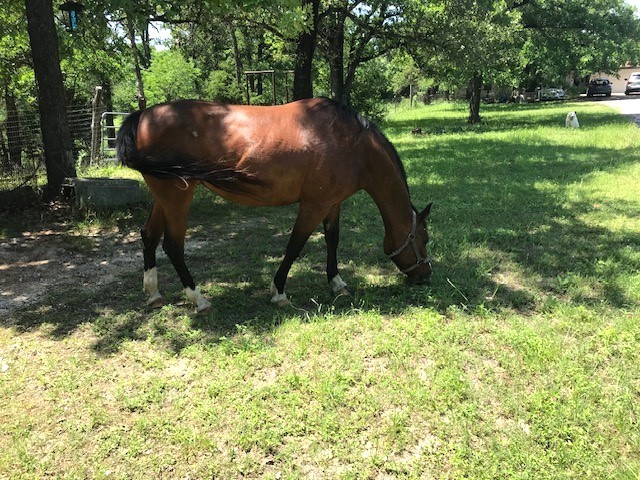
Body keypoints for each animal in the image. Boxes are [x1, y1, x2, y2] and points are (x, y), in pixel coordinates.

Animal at [117, 98, 432, 316]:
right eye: (424, 238)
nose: (426, 275)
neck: (354, 145)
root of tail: (143, 115)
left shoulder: (332, 203)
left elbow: (332, 240)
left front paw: (337, 282)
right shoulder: (314, 205)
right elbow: (295, 245)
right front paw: (279, 292)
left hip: (163, 196)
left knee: (149, 235)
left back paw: (154, 294)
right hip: (177, 196)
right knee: (173, 245)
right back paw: (200, 300)